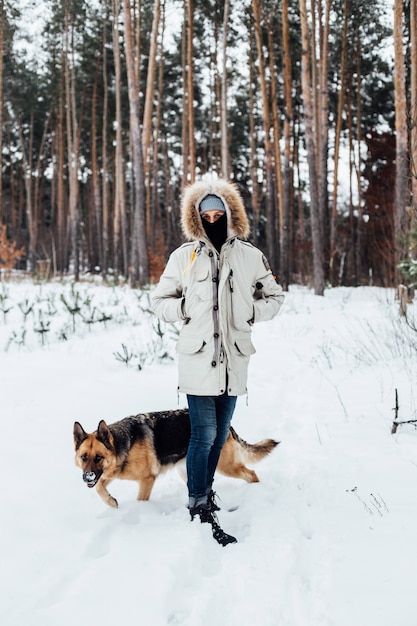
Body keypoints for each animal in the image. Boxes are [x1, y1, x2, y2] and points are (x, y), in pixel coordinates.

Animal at [73, 408, 278, 504]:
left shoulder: (147, 480)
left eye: (98, 457)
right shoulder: (109, 473)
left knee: (251, 474)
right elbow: (99, 487)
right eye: (84, 457)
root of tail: (225, 425)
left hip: (226, 466)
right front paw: (111, 502)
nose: (86, 478)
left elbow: (140, 499)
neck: (124, 442)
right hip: (189, 470)